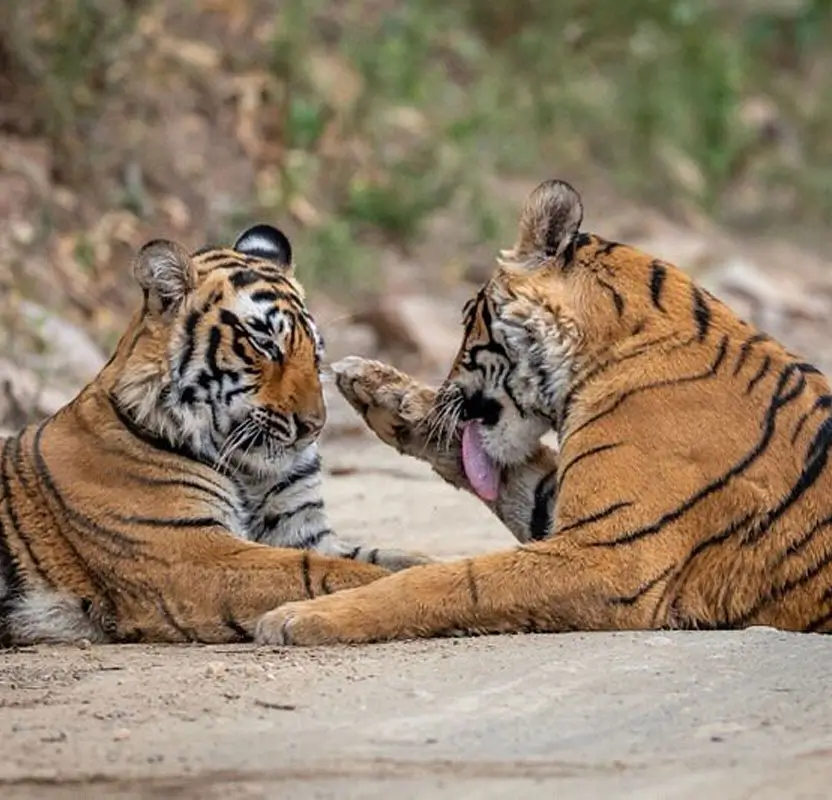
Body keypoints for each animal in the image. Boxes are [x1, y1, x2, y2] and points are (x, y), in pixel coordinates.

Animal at [0, 222, 428, 646]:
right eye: (265, 345)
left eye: (316, 353)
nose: (314, 426)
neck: (248, 471)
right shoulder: (189, 553)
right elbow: (320, 570)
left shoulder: (302, 532)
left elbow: (387, 556)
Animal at [253, 178, 832, 646]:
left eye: (465, 318)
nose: (448, 389)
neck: (608, 353)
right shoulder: (572, 515)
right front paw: (380, 389)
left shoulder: (613, 554)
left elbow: (457, 580)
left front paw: (297, 617)